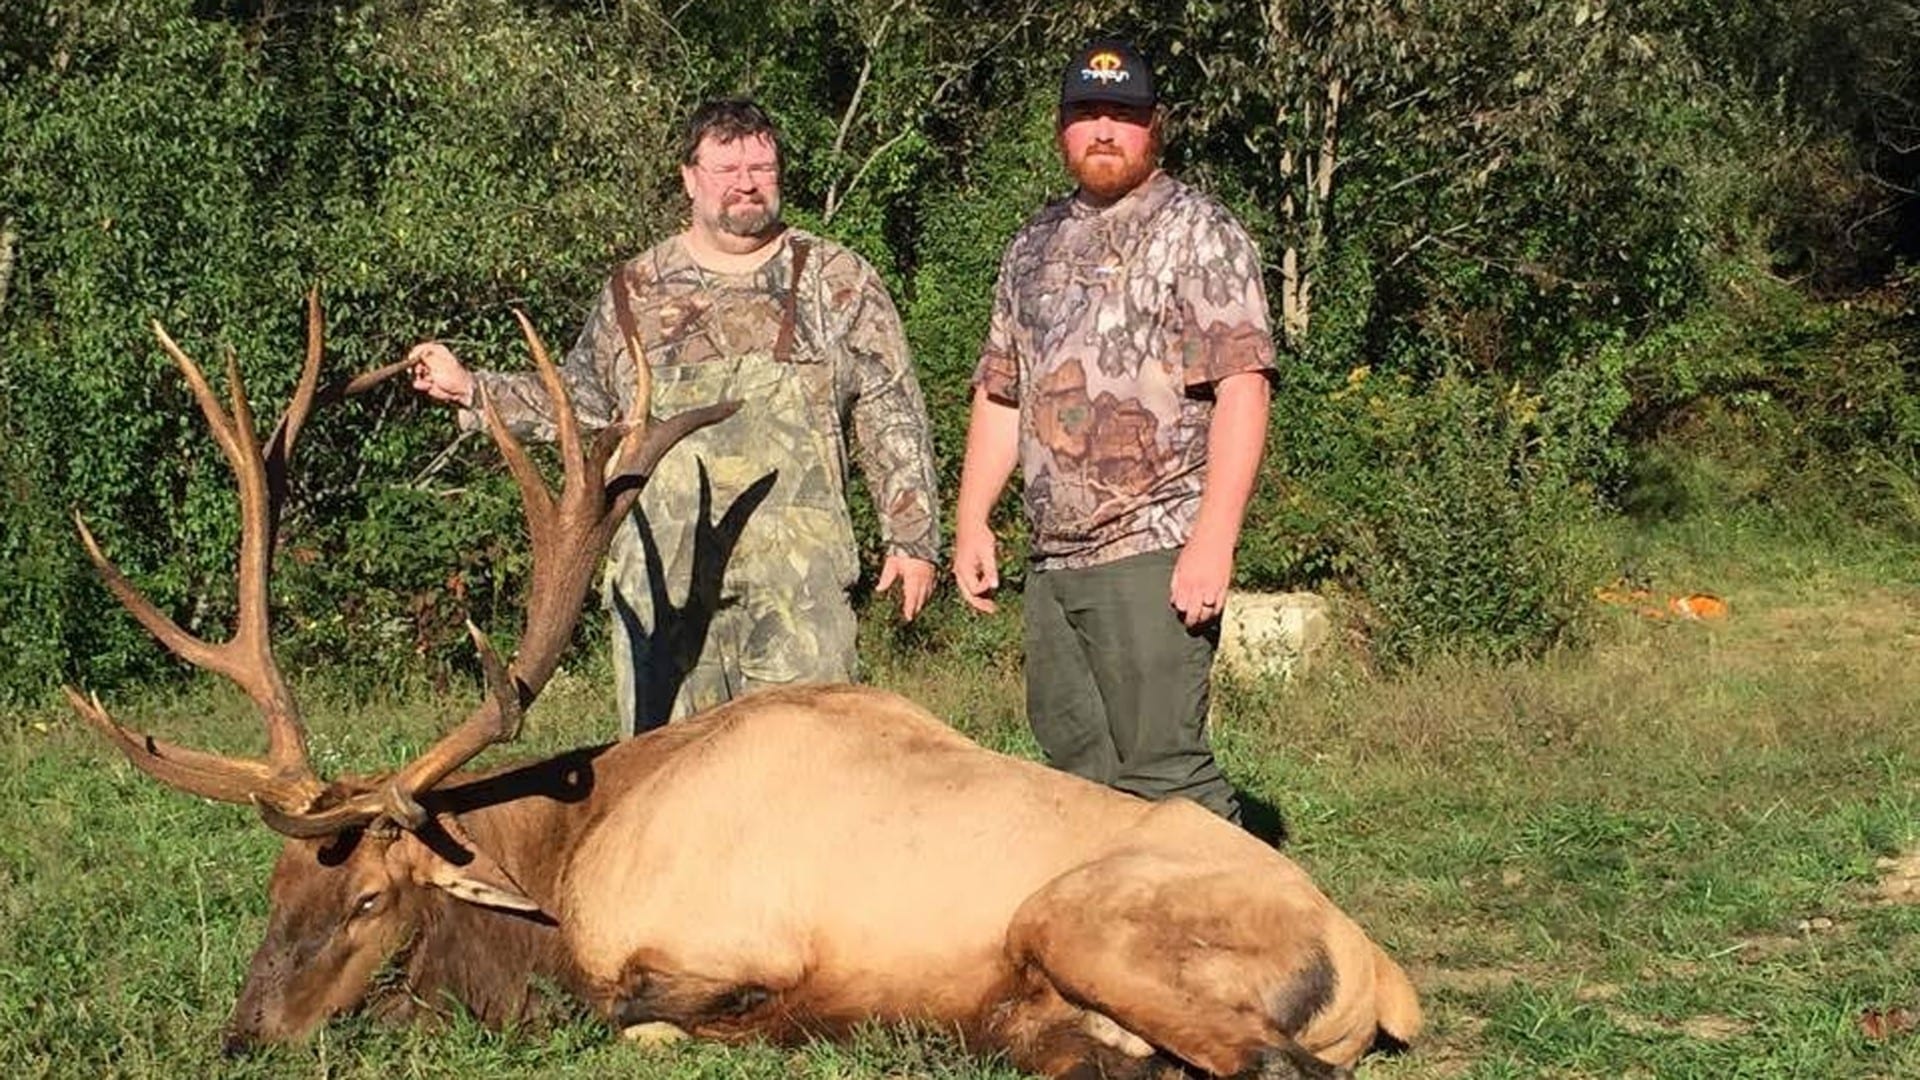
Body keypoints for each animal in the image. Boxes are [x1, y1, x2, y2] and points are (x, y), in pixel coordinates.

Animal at [68, 294, 1420, 1079]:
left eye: (365, 903)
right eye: (275, 887)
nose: (244, 1041)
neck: (561, 857)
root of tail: (1378, 967)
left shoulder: (705, 945)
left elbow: (642, 1011)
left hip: (1084, 918)